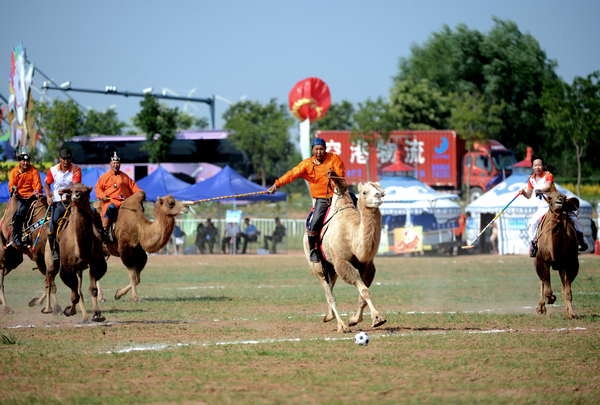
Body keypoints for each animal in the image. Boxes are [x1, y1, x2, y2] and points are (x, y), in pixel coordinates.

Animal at [44, 183, 107, 322]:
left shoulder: (96, 262)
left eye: (87, 191)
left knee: (79, 288)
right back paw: (48, 309)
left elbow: (92, 289)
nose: (76, 195)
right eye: (70, 190)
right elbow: (74, 294)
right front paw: (69, 311)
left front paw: (97, 314)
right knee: (49, 281)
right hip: (51, 261)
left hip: (79, 268)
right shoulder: (67, 266)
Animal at [302, 178, 386, 332]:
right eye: (364, 192)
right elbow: (364, 291)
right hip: (317, 265)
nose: (379, 195)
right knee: (329, 293)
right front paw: (377, 318)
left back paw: (329, 316)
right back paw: (341, 325)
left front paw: (353, 319)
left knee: (330, 286)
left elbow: (363, 296)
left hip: (331, 267)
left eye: (381, 190)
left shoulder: (368, 266)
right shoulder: (342, 262)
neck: (352, 235)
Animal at [536, 190, 580, 318]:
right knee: (542, 281)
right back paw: (541, 308)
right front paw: (550, 298)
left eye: (564, 197)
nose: (559, 202)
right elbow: (546, 286)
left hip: (561, 266)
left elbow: (567, 291)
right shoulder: (540, 260)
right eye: (550, 198)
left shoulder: (571, 263)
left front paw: (571, 314)